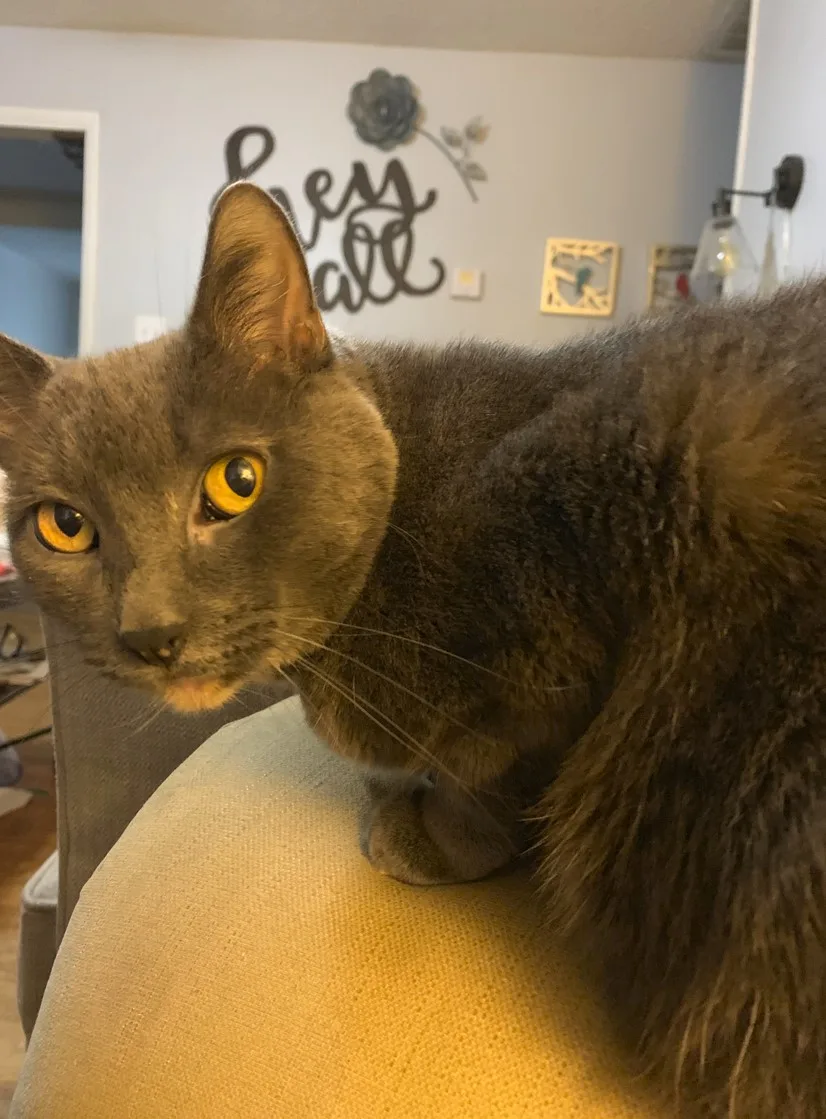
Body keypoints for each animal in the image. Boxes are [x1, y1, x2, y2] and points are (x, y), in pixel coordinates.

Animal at [1, 179, 823, 1114]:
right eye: (64, 526)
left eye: (236, 481)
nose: (151, 630)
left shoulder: (580, 527)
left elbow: (504, 764)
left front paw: (434, 833)